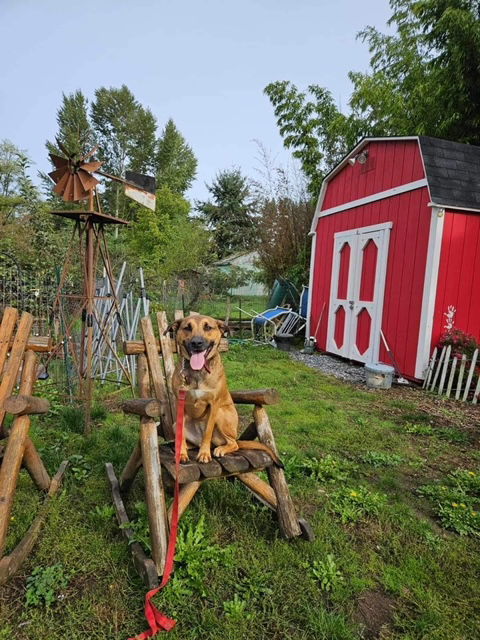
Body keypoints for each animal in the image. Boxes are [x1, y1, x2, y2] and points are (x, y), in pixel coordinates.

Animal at [169, 316, 282, 464]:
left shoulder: (214, 405)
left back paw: (220, 449)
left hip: (222, 415)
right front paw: (181, 454)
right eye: (187, 327)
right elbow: (180, 435)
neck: (197, 371)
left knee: (233, 443)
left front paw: (204, 454)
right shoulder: (179, 404)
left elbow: (207, 432)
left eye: (208, 327)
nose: (196, 343)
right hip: (175, 424)